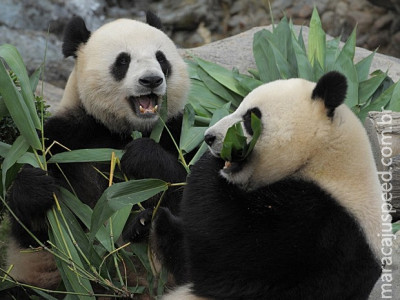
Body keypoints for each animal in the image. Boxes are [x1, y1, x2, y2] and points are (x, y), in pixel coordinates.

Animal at [3, 11, 191, 298]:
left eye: (161, 58)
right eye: (123, 61)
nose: (151, 80)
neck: (120, 131)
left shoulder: (179, 131)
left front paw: (144, 158)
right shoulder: (64, 138)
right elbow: (36, 233)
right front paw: (35, 188)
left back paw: (146, 225)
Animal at [128, 71, 388, 300]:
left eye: (250, 117)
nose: (209, 137)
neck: (323, 159)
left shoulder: (322, 231)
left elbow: (229, 260)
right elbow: (187, 260)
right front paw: (147, 221)